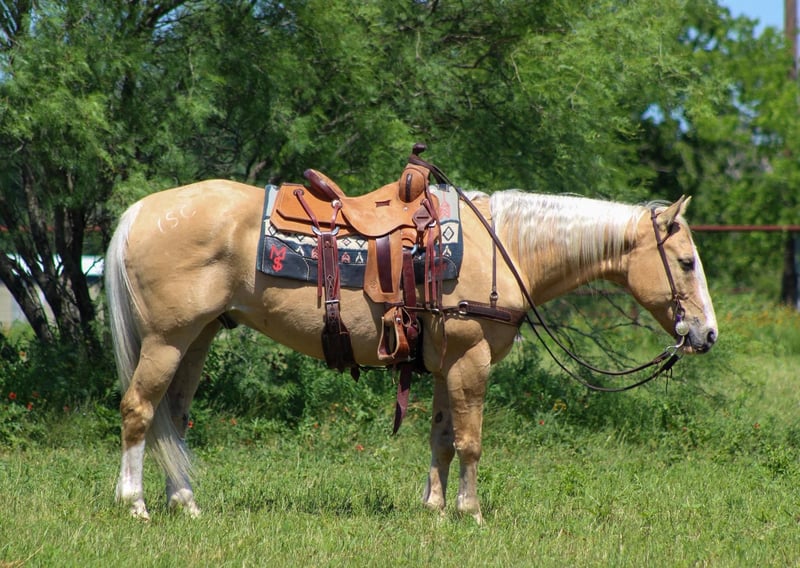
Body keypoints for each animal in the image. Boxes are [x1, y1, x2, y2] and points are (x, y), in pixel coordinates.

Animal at [105, 180, 718, 522]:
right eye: (686, 262)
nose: (707, 335)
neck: (505, 247)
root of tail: (140, 212)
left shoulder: (447, 364)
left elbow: (443, 440)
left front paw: (435, 510)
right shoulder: (471, 360)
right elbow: (470, 442)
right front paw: (472, 513)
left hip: (199, 336)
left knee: (173, 417)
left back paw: (185, 503)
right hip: (166, 339)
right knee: (139, 410)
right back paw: (134, 504)